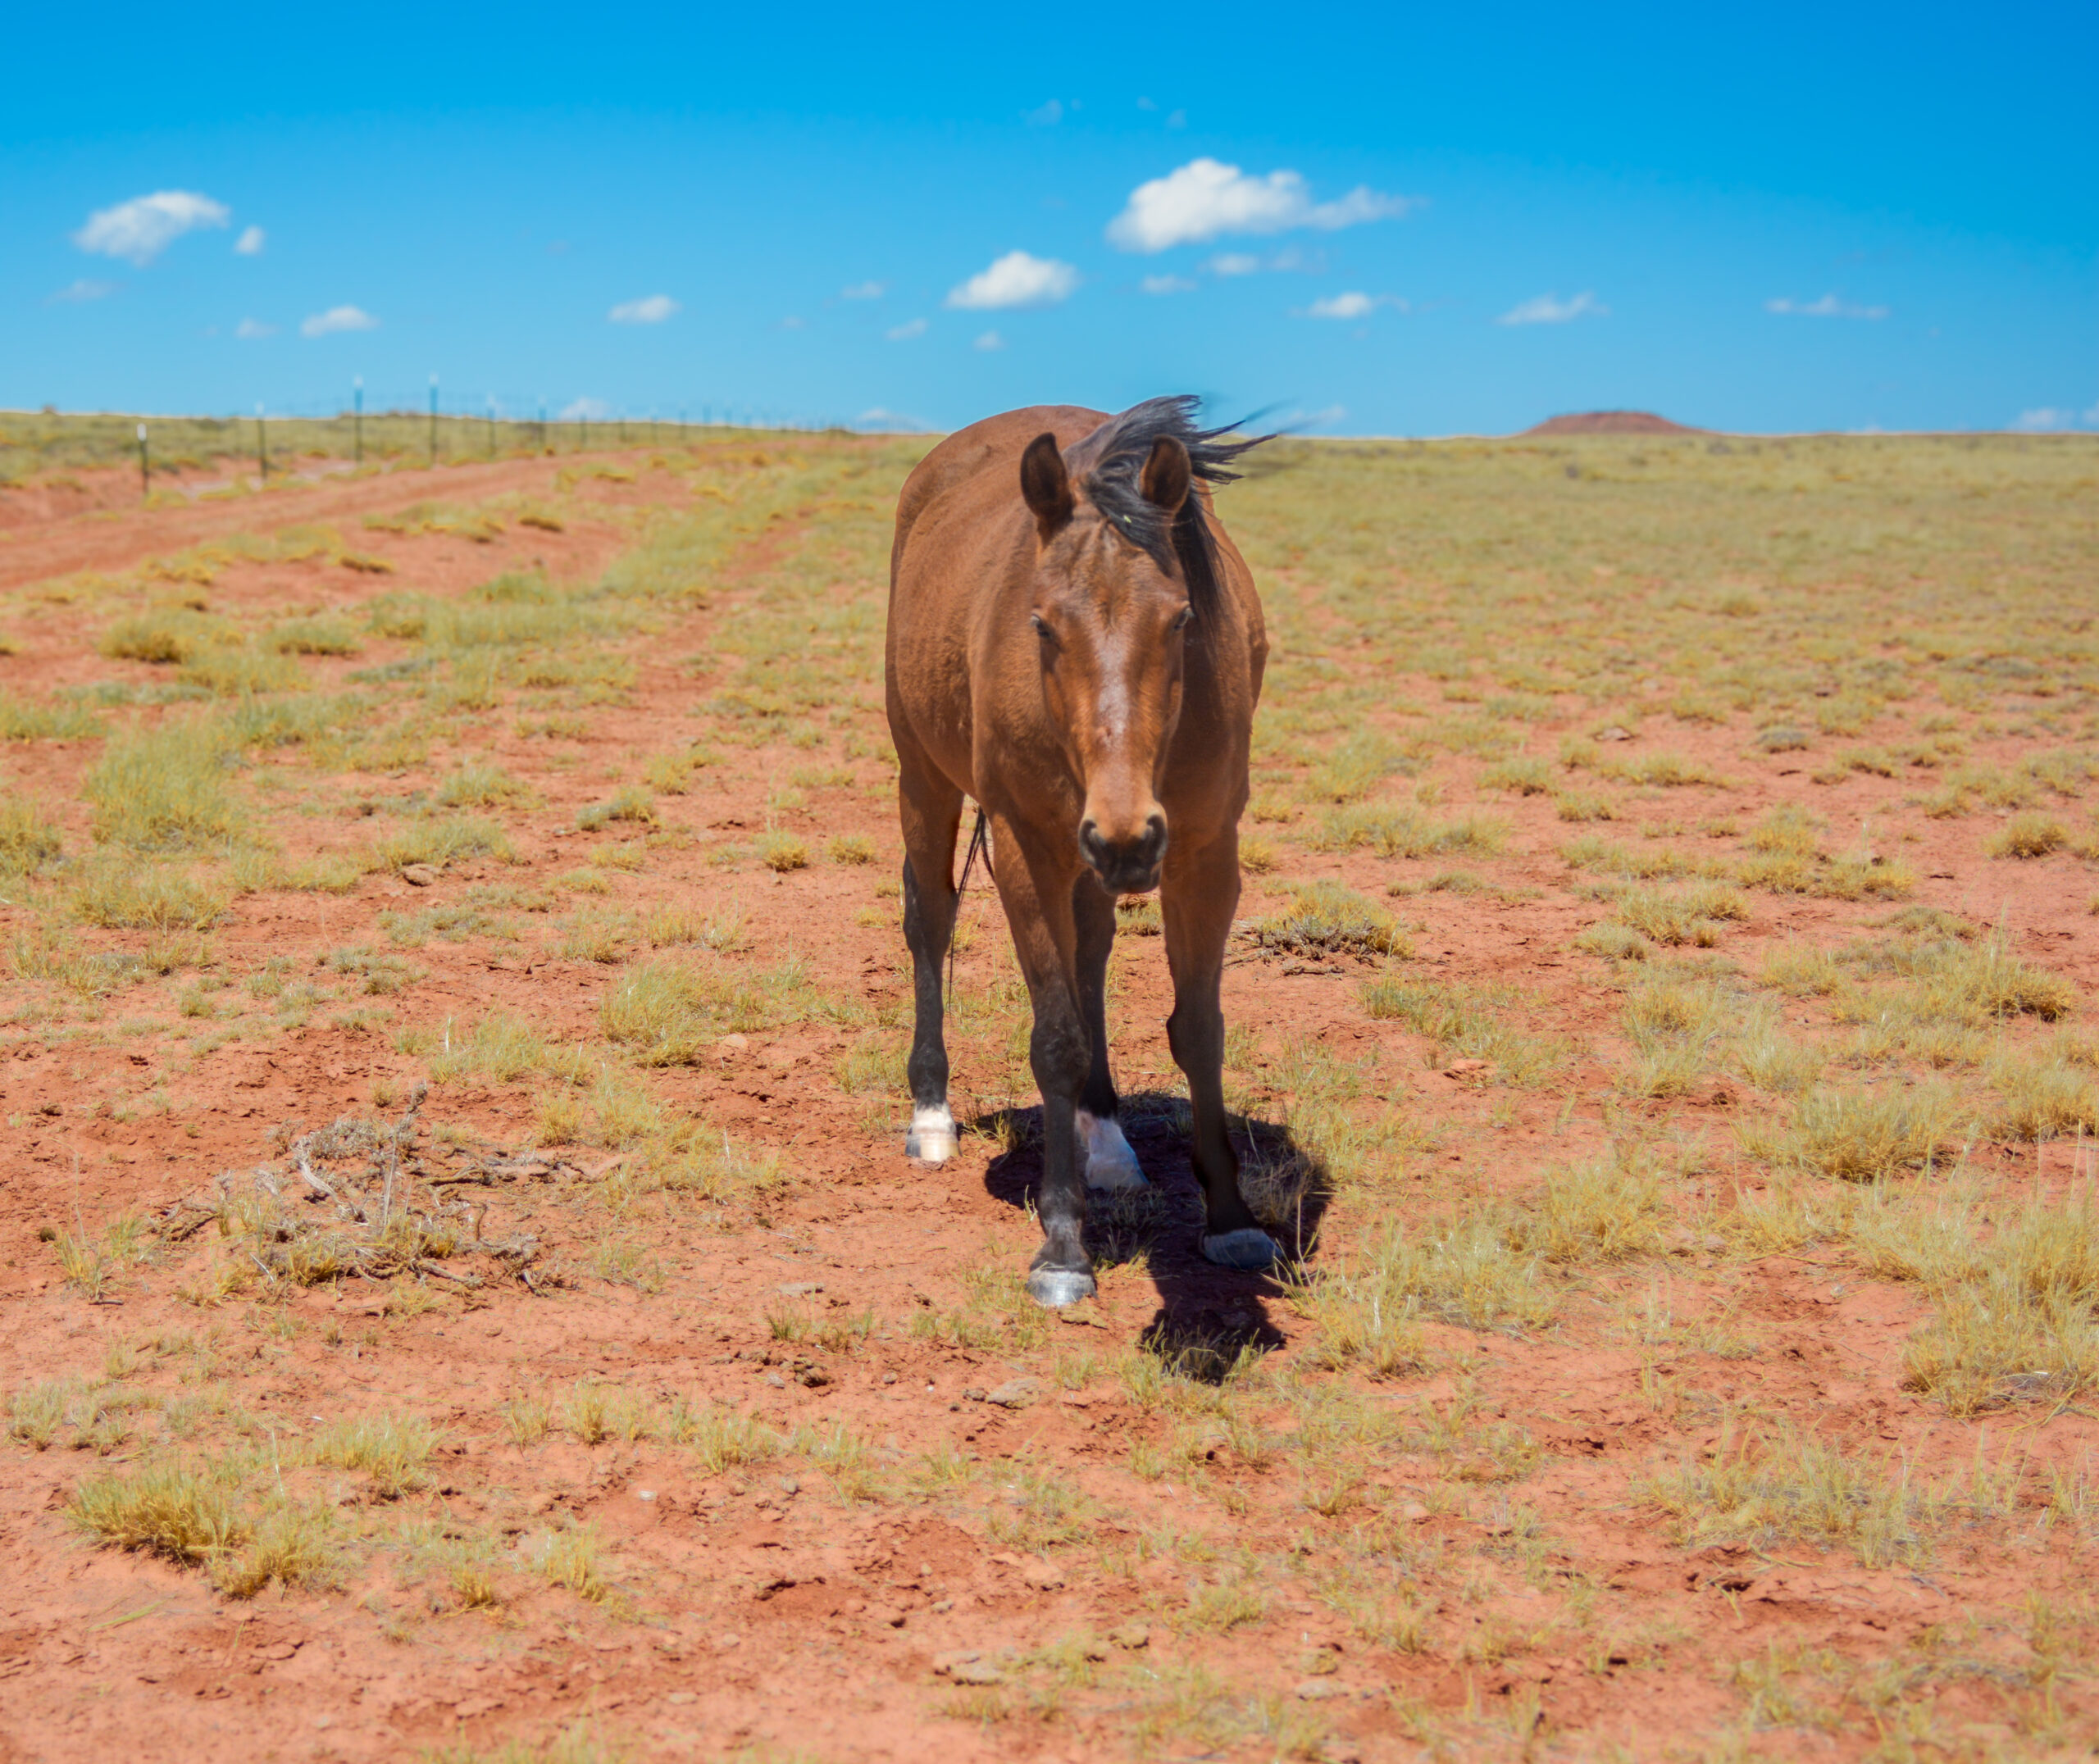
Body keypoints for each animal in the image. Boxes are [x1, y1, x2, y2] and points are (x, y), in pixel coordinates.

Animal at [884, 396, 1278, 1306]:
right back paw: (931, 1115)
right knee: (930, 920)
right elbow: (1055, 1039)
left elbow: (1198, 1028)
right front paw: (1062, 1246)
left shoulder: (1206, 852)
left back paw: (1107, 1141)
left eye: (1181, 618)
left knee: (1091, 954)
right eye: (1041, 624)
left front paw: (1230, 1216)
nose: (1126, 831)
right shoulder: (1028, 850)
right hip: (924, 775)